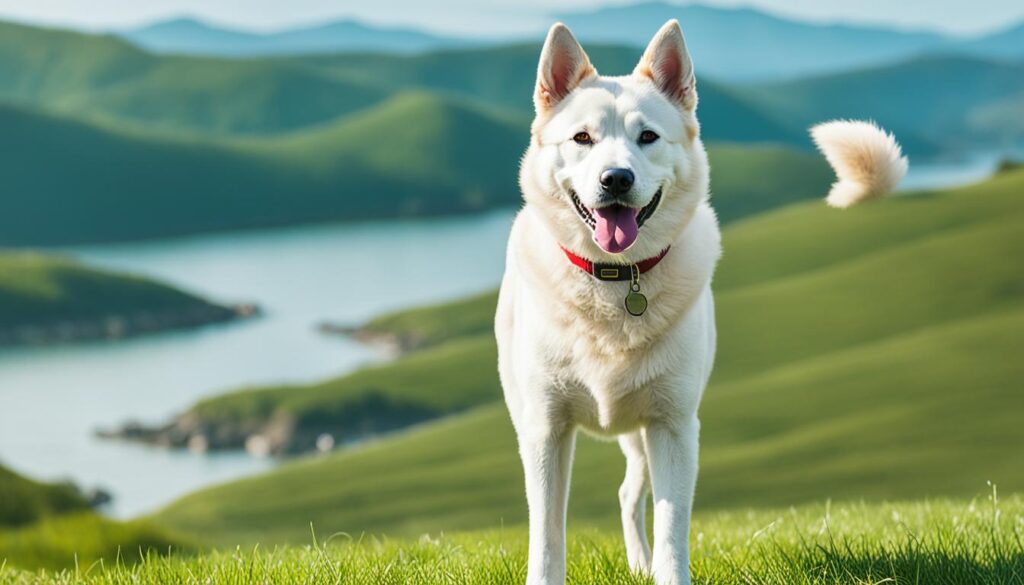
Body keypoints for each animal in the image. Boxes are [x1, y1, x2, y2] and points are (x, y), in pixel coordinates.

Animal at [495, 18, 905, 585]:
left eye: (648, 136)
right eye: (582, 138)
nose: (616, 179)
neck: (616, 282)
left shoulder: (672, 426)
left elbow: (672, 529)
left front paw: (661, 567)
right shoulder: (546, 430)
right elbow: (547, 536)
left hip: (643, 435)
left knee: (629, 494)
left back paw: (639, 564)